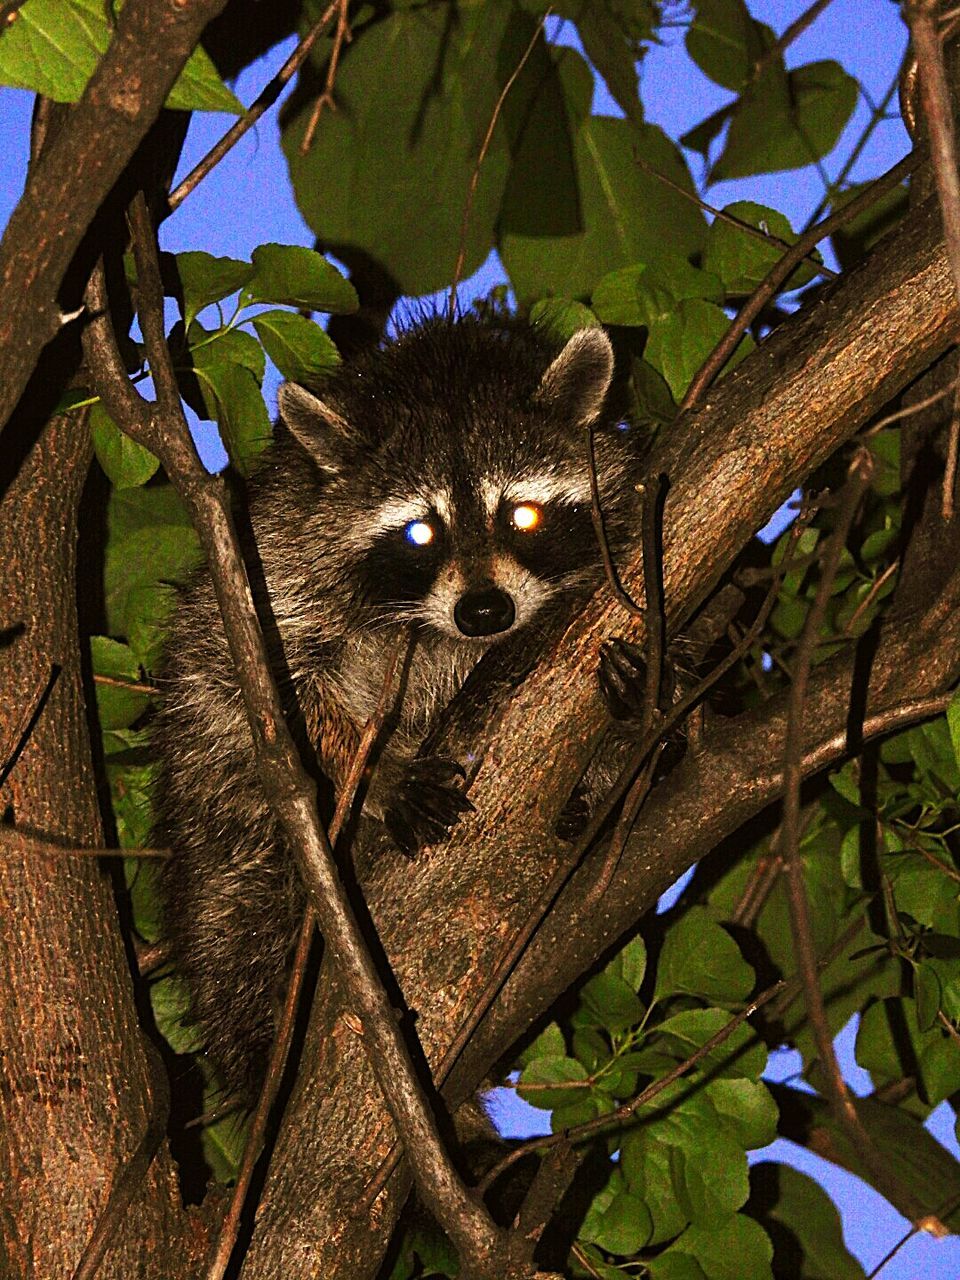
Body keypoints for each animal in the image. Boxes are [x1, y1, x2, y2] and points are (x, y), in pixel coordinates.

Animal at [156, 312, 640, 1100]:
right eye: (420, 531)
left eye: (524, 515)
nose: (485, 611)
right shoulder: (280, 556)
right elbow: (253, 679)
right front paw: (371, 771)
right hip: (223, 844)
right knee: (246, 909)